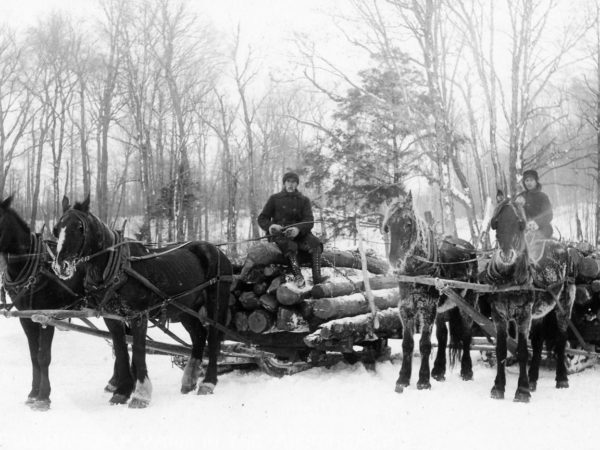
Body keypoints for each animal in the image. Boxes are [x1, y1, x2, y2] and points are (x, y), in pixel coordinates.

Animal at [0, 195, 86, 410]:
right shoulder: (27, 318)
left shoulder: (47, 316)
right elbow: (33, 356)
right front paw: (33, 393)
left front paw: (43, 397)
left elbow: (43, 356)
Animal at [51, 197, 232, 408]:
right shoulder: (112, 318)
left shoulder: (138, 315)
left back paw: (208, 382)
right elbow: (121, 351)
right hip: (185, 309)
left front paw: (141, 395)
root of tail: (218, 250)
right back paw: (189, 380)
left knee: (213, 339)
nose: (60, 266)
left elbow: (138, 351)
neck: (118, 269)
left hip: (216, 303)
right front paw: (122, 392)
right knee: (199, 336)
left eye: (80, 227)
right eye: (57, 229)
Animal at [384, 192, 478, 392]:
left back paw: (467, 371)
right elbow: (408, 343)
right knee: (442, 336)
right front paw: (403, 378)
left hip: (468, 302)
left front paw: (423, 380)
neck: (416, 271)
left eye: (408, 223)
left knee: (466, 333)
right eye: (387, 227)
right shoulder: (406, 307)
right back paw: (439, 371)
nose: (395, 261)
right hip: (442, 308)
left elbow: (425, 344)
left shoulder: (427, 307)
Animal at [478, 192, 576, 400]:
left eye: (521, 223)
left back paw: (561, 379)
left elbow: (522, 351)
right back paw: (533, 380)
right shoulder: (499, 315)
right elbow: (501, 350)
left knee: (561, 340)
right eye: (495, 223)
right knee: (538, 343)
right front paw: (498, 387)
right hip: (538, 313)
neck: (508, 281)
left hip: (564, 305)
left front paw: (521, 391)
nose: (506, 255)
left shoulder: (523, 315)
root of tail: (562, 245)